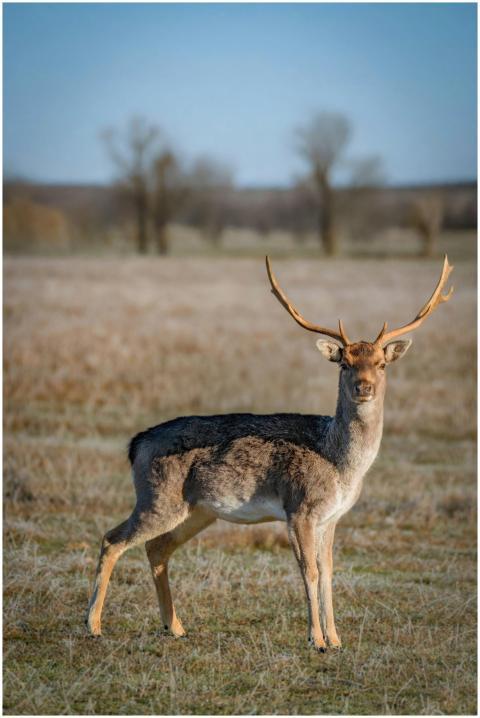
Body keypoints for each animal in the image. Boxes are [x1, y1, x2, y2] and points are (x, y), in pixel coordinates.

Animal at [86, 255, 453, 651]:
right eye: (345, 363)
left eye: (381, 364)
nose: (364, 387)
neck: (340, 463)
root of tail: (136, 443)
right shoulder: (299, 508)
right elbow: (309, 571)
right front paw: (316, 639)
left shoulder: (332, 517)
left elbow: (328, 572)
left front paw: (337, 639)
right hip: (158, 498)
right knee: (112, 539)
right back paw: (93, 625)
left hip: (196, 510)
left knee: (156, 548)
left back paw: (176, 626)